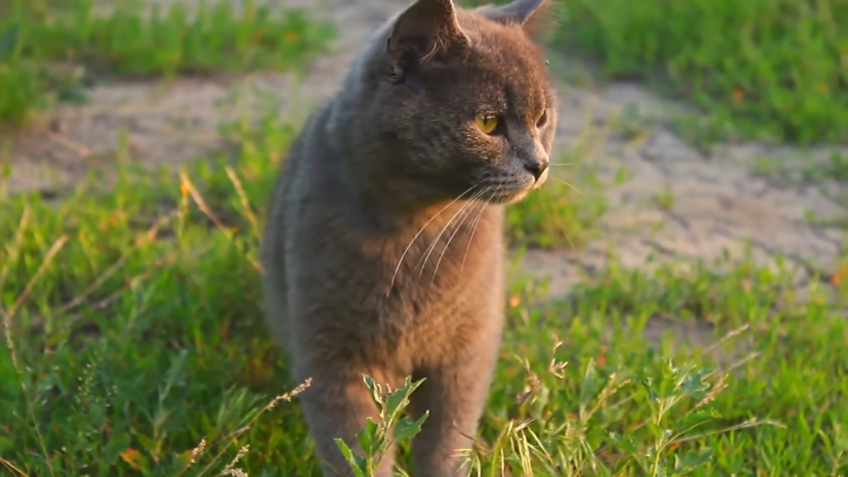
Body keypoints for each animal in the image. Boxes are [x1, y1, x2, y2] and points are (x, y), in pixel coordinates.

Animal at [262, 0, 560, 472]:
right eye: (487, 121)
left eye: (543, 117)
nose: (540, 163)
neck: (416, 233)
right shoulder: (334, 357)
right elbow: (353, 447)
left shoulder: (464, 354)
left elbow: (446, 440)